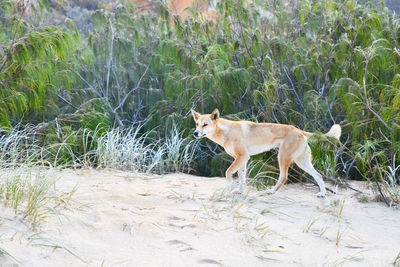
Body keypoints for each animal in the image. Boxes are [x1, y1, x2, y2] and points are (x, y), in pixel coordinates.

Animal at [192, 108, 342, 198]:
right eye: (197, 124)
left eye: (205, 124)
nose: (195, 133)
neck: (226, 131)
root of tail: (299, 130)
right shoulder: (243, 159)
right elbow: (242, 177)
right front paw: (239, 191)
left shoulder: (242, 156)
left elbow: (228, 173)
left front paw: (228, 187)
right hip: (302, 162)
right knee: (318, 176)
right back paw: (322, 193)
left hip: (283, 157)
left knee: (284, 177)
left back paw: (272, 191)